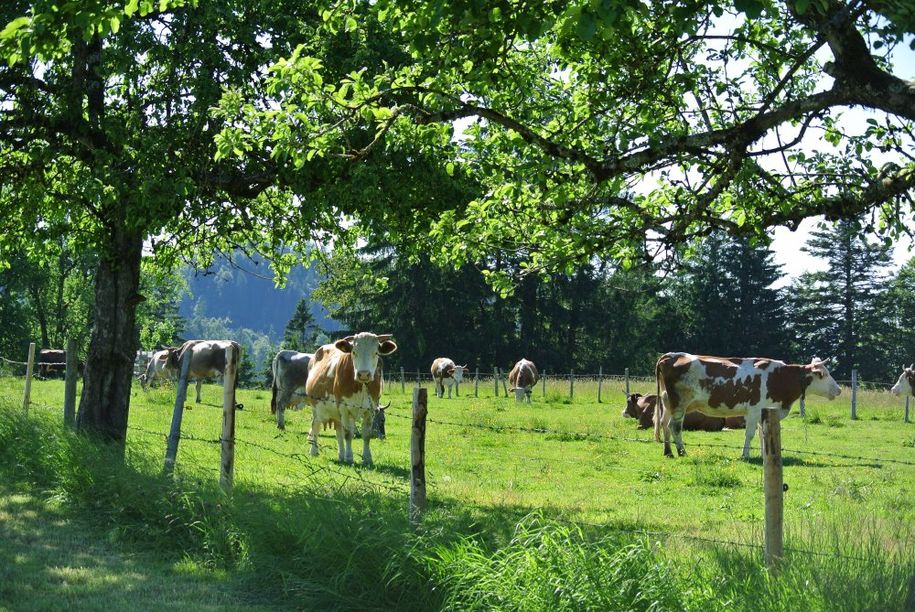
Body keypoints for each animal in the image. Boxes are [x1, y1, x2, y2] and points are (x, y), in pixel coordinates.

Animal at [304, 334, 398, 464]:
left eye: (376, 353)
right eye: (354, 352)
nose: (363, 374)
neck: (361, 386)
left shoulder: (370, 410)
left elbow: (366, 434)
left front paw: (367, 458)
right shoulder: (344, 408)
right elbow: (348, 434)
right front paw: (349, 457)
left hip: (336, 413)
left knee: (338, 432)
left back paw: (341, 455)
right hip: (316, 408)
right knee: (315, 426)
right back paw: (314, 450)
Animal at [656, 354, 840, 460]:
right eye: (823, 374)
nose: (838, 389)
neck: (779, 377)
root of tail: (670, 355)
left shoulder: (764, 413)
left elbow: (763, 434)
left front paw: (765, 455)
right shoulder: (754, 411)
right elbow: (750, 434)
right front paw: (745, 455)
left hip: (667, 402)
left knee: (664, 424)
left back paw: (668, 452)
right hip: (680, 404)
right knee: (675, 426)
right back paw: (682, 452)